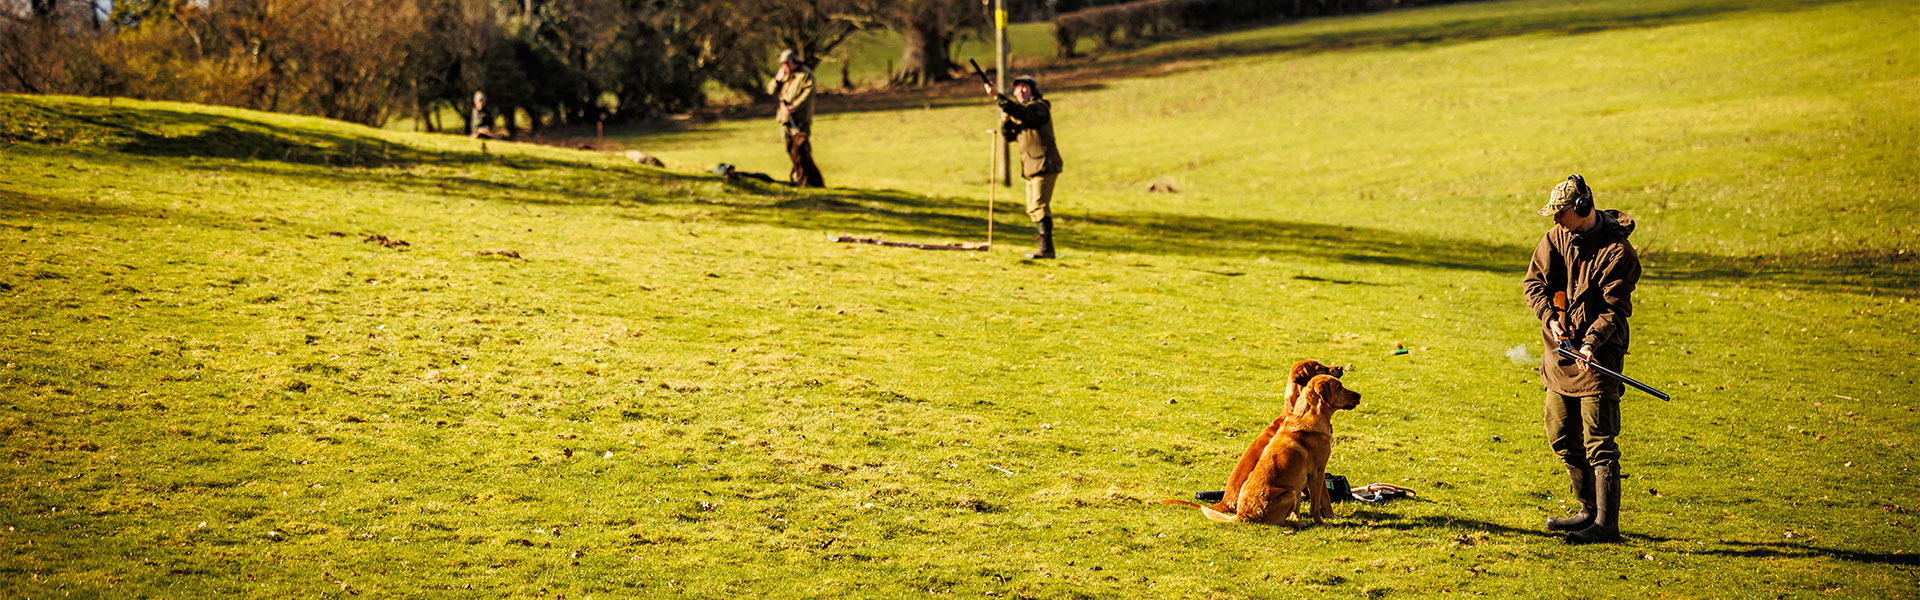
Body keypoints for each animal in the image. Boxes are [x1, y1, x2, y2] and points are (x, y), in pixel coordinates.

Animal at [1205, 375, 1359, 523]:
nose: (1359, 395)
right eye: (1339, 387)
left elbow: (1297, 510)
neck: (1310, 414)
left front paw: (1298, 517)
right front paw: (1322, 522)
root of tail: (1242, 514)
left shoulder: (1302, 480)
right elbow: (1316, 505)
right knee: (1277, 522)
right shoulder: (1317, 472)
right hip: (1289, 493)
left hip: (1291, 490)